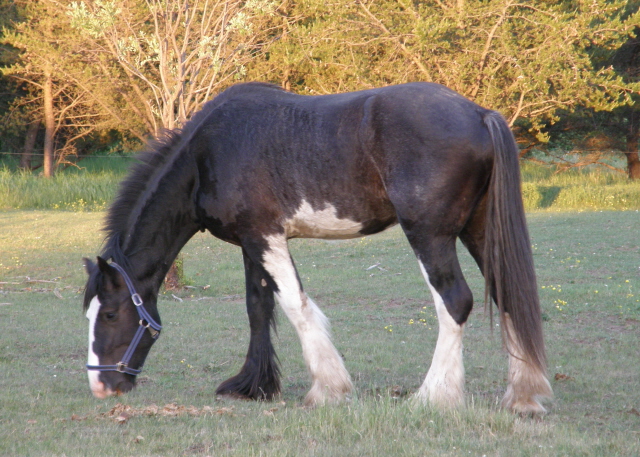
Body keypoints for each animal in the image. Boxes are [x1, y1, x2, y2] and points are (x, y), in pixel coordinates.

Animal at [84, 81, 556, 414]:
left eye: (109, 314)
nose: (102, 386)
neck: (209, 152)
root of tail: (478, 114)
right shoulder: (251, 243)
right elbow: (258, 308)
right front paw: (253, 386)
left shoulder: (265, 237)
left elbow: (294, 305)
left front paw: (328, 389)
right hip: (478, 231)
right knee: (507, 295)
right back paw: (523, 396)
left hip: (430, 235)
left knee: (455, 302)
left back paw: (433, 396)